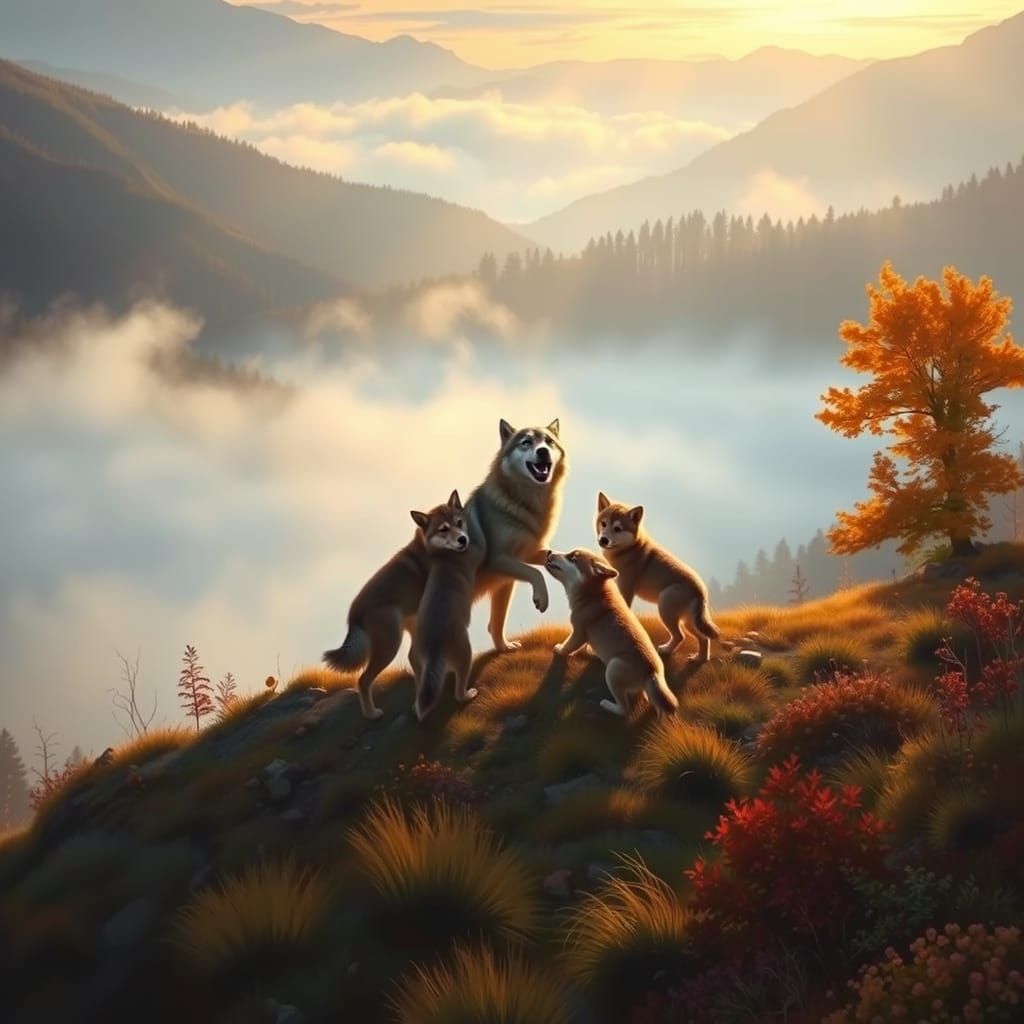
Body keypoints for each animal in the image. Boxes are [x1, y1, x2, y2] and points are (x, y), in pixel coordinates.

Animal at [322, 491, 469, 720]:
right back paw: (372, 714)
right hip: (390, 645)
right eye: (443, 529)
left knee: (413, 659)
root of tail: (354, 612)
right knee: (363, 680)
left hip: (409, 627)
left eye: (459, 522)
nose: (462, 539)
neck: (426, 548)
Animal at [410, 490, 483, 721]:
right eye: (443, 529)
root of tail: (435, 647)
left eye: (459, 522)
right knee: (458, 693)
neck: (443, 555)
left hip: (419, 666)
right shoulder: (477, 550)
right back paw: (469, 694)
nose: (462, 539)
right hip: (466, 654)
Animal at [466, 418, 567, 651]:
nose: (542, 451)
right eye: (526, 442)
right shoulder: (499, 559)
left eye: (549, 441)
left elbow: (496, 623)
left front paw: (504, 648)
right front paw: (542, 599)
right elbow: (536, 573)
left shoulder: (525, 556)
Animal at [543, 547, 679, 717]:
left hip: (613, 670)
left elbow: (568, 647)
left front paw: (560, 649)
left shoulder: (578, 633)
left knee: (625, 710)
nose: (549, 551)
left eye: (572, 557)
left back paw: (608, 705)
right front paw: (591, 651)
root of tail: (652, 672)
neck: (592, 596)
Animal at [595, 492, 720, 663]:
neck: (630, 549)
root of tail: (701, 590)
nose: (603, 540)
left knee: (680, 636)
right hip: (689, 621)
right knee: (703, 638)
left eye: (618, 529)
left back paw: (666, 650)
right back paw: (699, 658)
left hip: (665, 610)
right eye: (604, 524)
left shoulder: (626, 587)